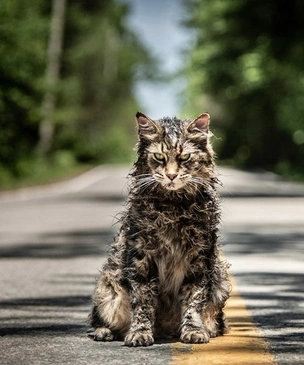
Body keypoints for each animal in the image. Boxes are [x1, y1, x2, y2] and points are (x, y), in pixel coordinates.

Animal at [89, 112, 232, 346]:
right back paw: (105, 332)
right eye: (159, 157)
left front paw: (193, 330)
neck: (173, 208)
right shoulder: (141, 257)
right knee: (100, 319)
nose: (171, 175)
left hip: (220, 282)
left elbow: (193, 300)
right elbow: (143, 301)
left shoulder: (199, 258)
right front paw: (140, 332)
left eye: (184, 158)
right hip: (108, 287)